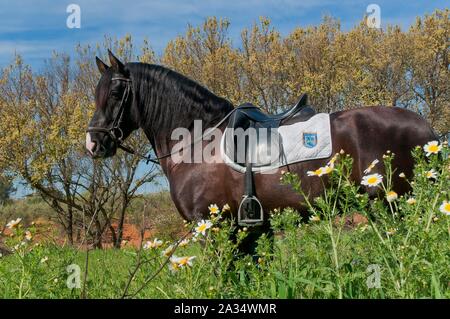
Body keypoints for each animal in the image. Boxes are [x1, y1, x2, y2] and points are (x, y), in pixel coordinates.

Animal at [85, 51, 436, 254]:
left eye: (115, 92)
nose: (93, 143)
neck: (198, 140)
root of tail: (425, 127)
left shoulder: (212, 227)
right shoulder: (248, 232)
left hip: (394, 205)